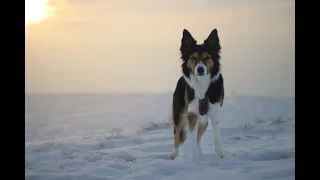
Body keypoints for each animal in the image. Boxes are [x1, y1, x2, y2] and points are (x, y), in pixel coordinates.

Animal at [170, 28, 225, 160]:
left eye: (207, 57)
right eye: (193, 58)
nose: (200, 69)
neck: (202, 84)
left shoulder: (214, 112)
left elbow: (216, 137)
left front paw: (220, 155)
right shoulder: (192, 114)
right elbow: (191, 138)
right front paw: (194, 159)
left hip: (204, 119)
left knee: (199, 137)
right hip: (179, 113)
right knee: (177, 133)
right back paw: (174, 154)